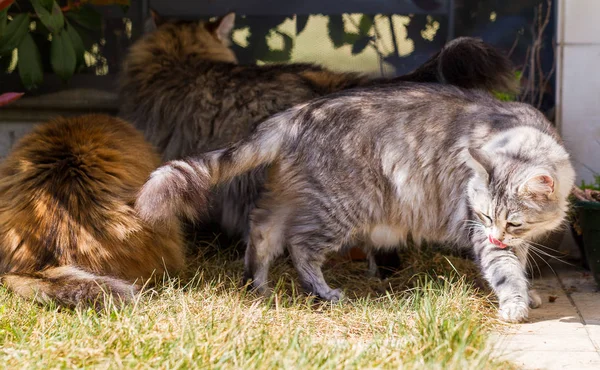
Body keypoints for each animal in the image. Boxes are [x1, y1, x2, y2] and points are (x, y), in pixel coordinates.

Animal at [134, 84, 576, 320]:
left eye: (513, 223)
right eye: (484, 215)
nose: (499, 235)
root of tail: (299, 113)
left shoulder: (515, 239)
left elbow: (519, 264)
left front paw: (528, 293)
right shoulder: (482, 235)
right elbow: (506, 273)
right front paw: (516, 304)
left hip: (285, 199)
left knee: (260, 234)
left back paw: (258, 286)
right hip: (339, 209)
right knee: (300, 247)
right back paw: (323, 292)